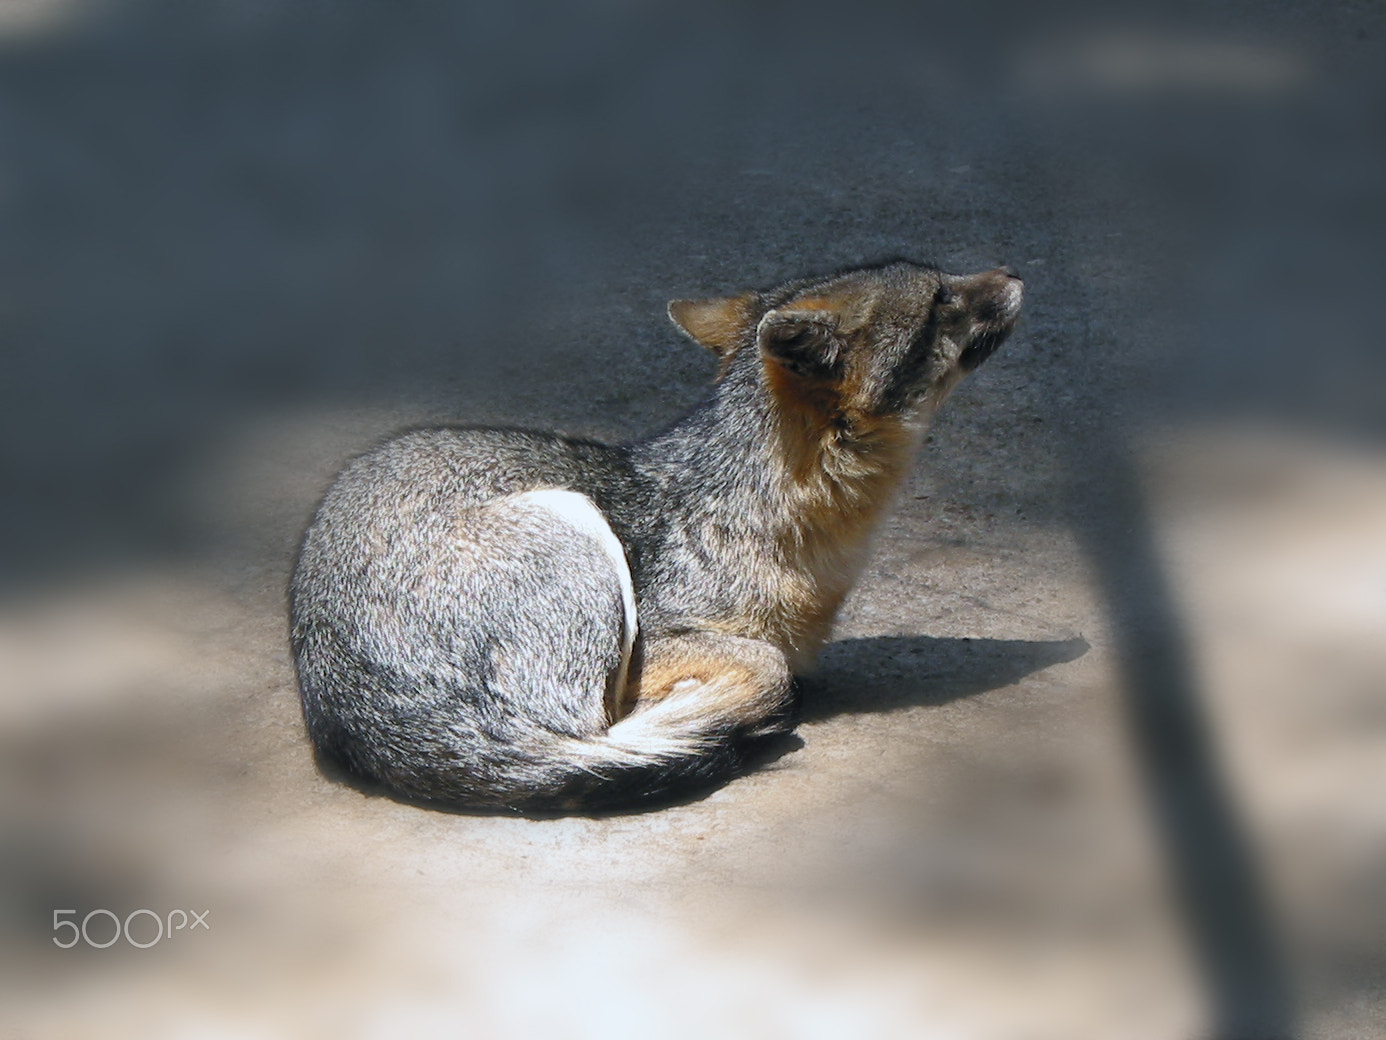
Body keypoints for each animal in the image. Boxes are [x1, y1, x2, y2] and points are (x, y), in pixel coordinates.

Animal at [290, 259, 1023, 813]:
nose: (1014, 272)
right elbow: (767, 663)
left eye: (945, 282)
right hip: (578, 530)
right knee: (595, 733)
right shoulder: (662, 637)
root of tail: (341, 695)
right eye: (940, 301)